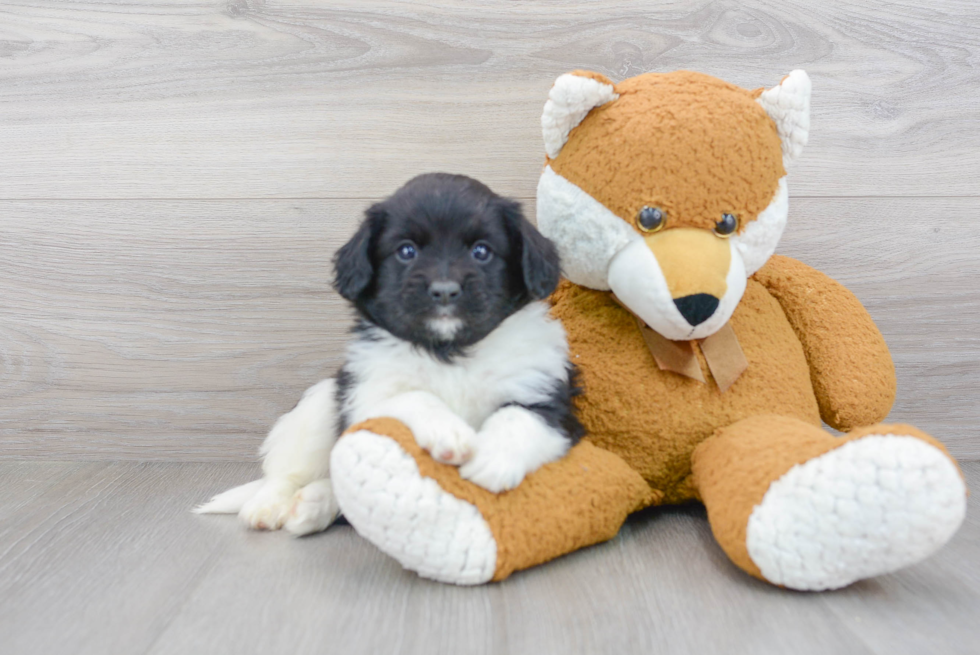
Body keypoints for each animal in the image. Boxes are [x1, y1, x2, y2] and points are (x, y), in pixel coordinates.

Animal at [198, 176, 580, 540]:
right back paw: (269, 505)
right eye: (406, 251)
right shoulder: (367, 397)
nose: (444, 291)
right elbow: (413, 396)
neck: (449, 352)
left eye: (481, 251)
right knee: (286, 471)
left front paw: (492, 458)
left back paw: (312, 506)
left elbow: (518, 418)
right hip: (321, 403)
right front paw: (448, 431)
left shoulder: (551, 403)